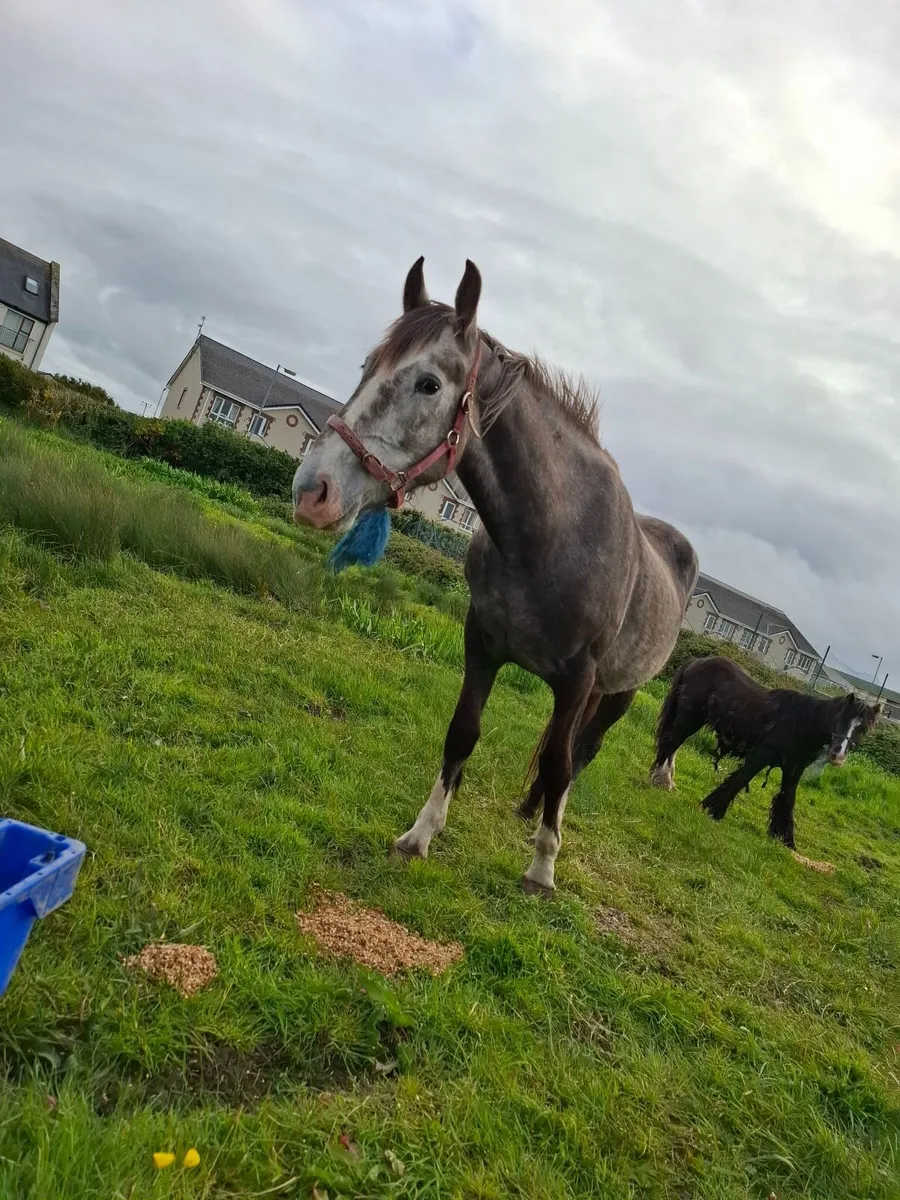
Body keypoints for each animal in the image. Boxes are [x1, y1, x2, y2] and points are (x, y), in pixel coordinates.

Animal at [293, 258, 699, 895]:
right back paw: (530, 809)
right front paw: (419, 836)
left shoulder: (578, 679)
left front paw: (542, 868)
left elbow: (559, 761)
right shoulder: (481, 643)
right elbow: (464, 732)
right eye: (367, 368)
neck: (548, 538)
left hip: (620, 691)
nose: (312, 491)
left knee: (582, 751)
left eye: (429, 384)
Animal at [649, 655, 881, 853]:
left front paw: (786, 841)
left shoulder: (793, 769)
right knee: (670, 743)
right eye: (840, 718)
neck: (800, 724)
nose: (837, 755)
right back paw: (661, 781)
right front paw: (710, 809)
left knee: (672, 746)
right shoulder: (761, 756)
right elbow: (738, 779)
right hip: (689, 717)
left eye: (862, 729)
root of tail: (697, 661)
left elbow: (787, 799)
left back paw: (665, 782)